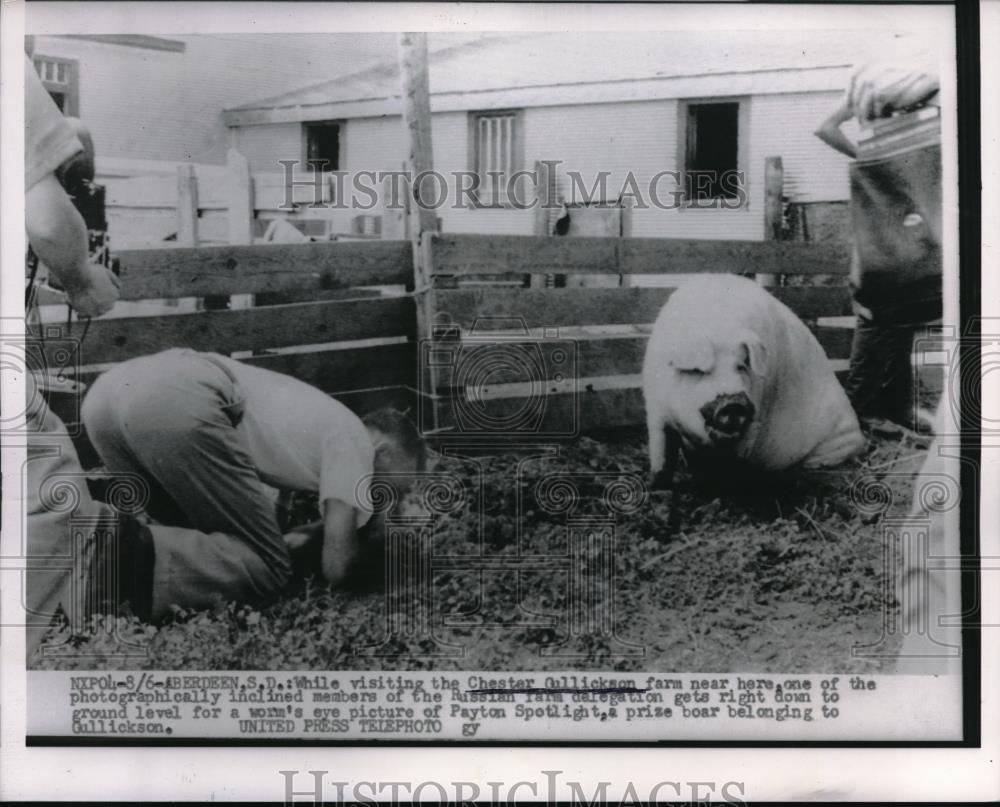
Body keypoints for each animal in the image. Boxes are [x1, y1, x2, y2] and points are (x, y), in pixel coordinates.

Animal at [644, 274, 864, 486]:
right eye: (700, 371)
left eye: (742, 366)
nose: (733, 403)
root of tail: (860, 435)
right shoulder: (656, 409)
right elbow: (661, 454)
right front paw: (658, 485)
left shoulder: (756, 410)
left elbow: (735, 462)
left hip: (840, 436)